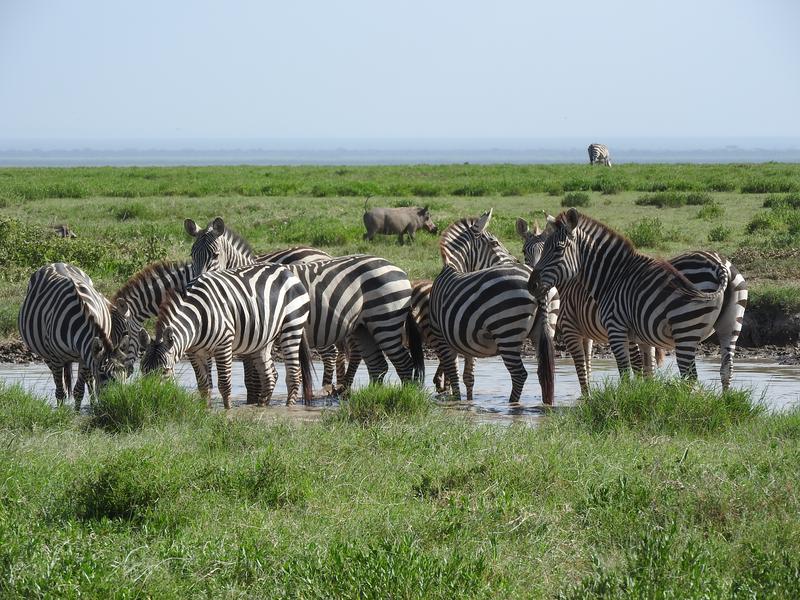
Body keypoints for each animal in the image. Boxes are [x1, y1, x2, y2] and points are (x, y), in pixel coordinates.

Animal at [18, 262, 134, 408]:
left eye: (123, 373)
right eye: (102, 374)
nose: (118, 402)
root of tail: (57, 263)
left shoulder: (85, 356)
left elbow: (79, 391)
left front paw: (78, 411)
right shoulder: (56, 358)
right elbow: (60, 392)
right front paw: (61, 412)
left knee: (87, 380)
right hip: (46, 355)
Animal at [138, 262, 312, 408]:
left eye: (165, 371)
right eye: (142, 370)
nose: (149, 397)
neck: (197, 318)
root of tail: (287, 271)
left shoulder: (223, 345)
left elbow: (224, 385)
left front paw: (227, 412)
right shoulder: (195, 352)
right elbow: (203, 385)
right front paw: (205, 410)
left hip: (292, 326)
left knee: (293, 375)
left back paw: (289, 408)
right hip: (264, 338)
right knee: (269, 376)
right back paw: (262, 407)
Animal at [428, 210, 552, 404]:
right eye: (494, 243)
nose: (515, 260)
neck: (453, 267)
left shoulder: (441, 338)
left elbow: (454, 376)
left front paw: (457, 403)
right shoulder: (466, 343)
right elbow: (468, 377)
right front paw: (469, 404)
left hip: (507, 331)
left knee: (519, 375)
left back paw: (512, 404)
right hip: (540, 333)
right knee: (543, 373)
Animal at [520, 214, 748, 390]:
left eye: (557, 249)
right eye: (524, 252)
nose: (531, 284)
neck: (612, 277)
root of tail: (720, 265)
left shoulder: (609, 329)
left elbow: (618, 371)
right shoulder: (640, 335)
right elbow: (644, 370)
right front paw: (645, 397)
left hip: (686, 329)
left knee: (690, 376)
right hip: (731, 327)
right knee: (726, 370)